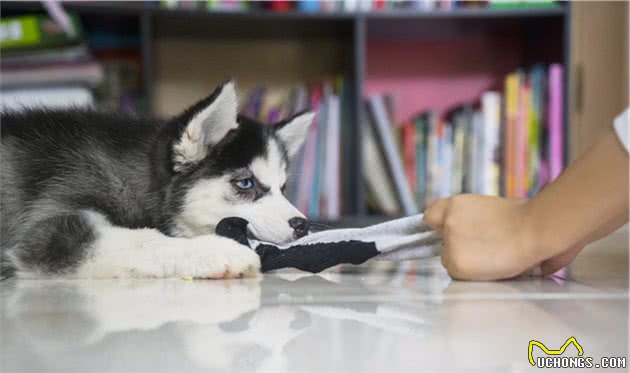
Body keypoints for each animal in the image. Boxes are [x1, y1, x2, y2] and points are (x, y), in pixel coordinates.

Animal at [0, 82, 314, 280]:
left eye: (283, 188)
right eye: (246, 183)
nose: (303, 224)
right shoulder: (49, 230)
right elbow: (143, 239)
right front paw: (214, 250)